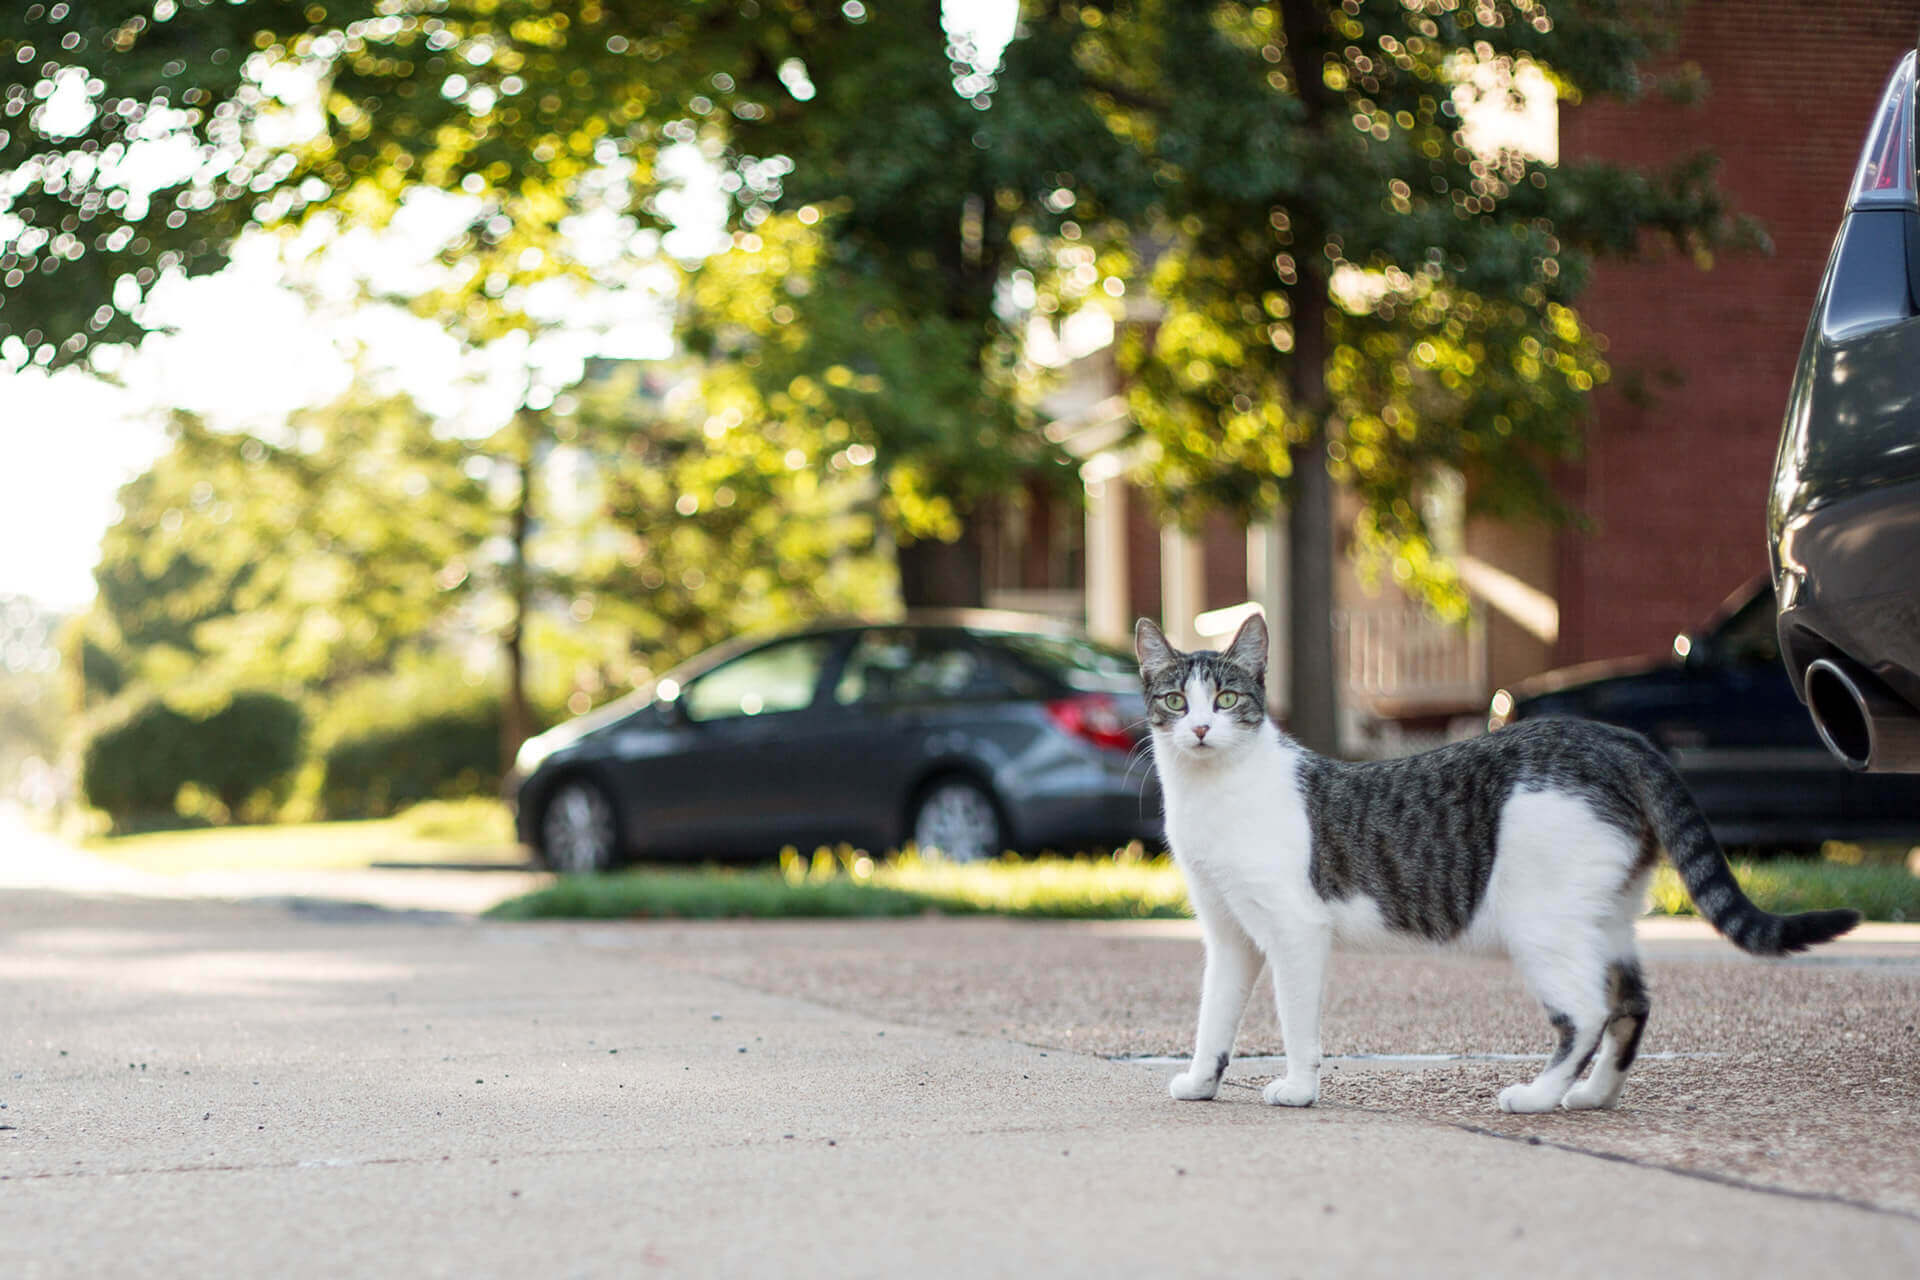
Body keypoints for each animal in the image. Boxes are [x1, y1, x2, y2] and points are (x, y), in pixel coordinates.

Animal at [1136, 610, 1858, 1113]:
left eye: (1227, 700)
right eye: (1175, 701)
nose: (1199, 728)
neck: (1213, 794)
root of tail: (1611, 739)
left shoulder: (1295, 930)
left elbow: (1294, 1021)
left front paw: (1297, 1088)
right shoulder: (1229, 934)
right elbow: (1214, 1013)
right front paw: (1201, 1081)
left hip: (1540, 923)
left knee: (1587, 1012)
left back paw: (1536, 1097)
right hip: (1604, 917)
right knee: (1632, 1003)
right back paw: (1592, 1097)